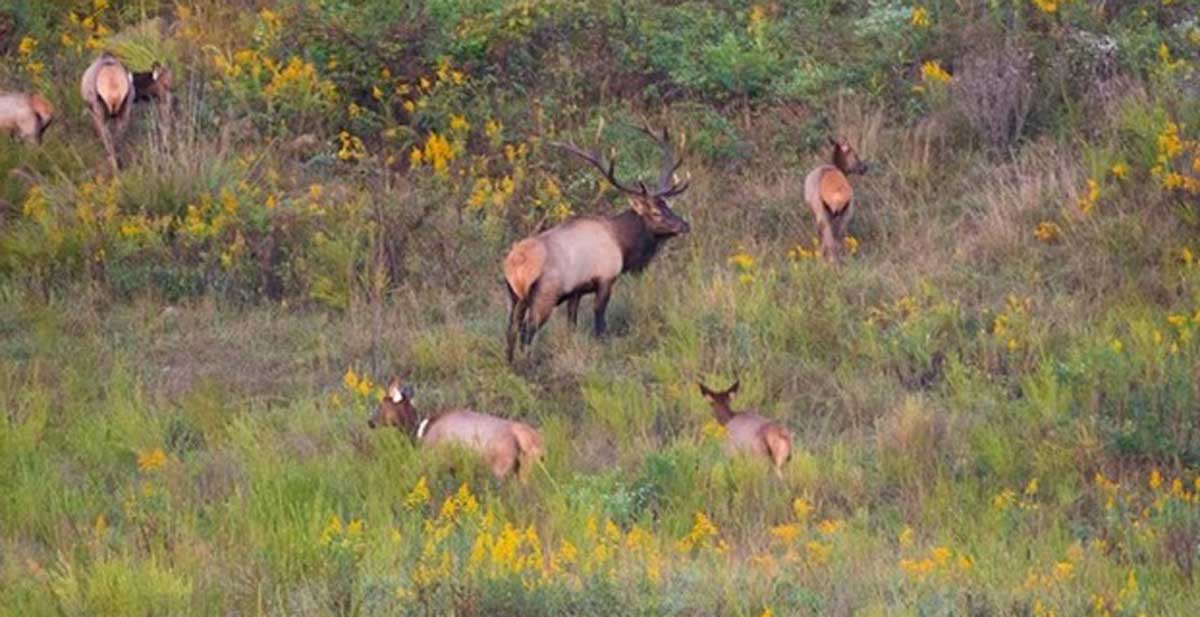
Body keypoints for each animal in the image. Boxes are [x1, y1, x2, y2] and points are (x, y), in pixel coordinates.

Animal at [368, 376, 545, 481]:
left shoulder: (435, 460)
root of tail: (533, 441)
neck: (419, 432)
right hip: (526, 471)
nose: (370, 422)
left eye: (382, 404)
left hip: (501, 469)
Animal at [503, 125, 691, 363]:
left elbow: (571, 324)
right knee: (527, 331)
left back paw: (510, 363)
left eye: (668, 206)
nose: (685, 225)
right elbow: (600, 320)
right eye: (656, 212)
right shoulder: (605, 278)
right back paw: (527, 364)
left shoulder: (576, 291)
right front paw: (604, 346)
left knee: (511, 329)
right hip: (544, 294)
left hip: (514, 296)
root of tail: (515, 267)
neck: (623, 245)